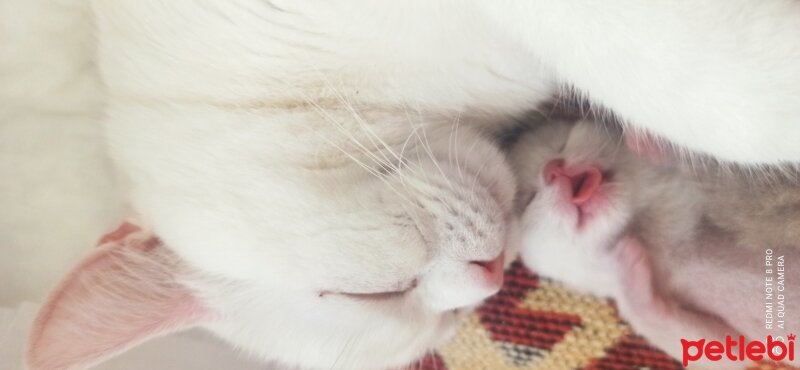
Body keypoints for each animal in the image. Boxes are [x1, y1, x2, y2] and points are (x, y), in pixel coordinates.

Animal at [512, 120, 800, 368]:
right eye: (530, 198)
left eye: (563, 143)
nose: (553, 169)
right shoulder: (728, 345)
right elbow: (716, 352)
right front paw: (625, 262)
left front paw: (648, 140)